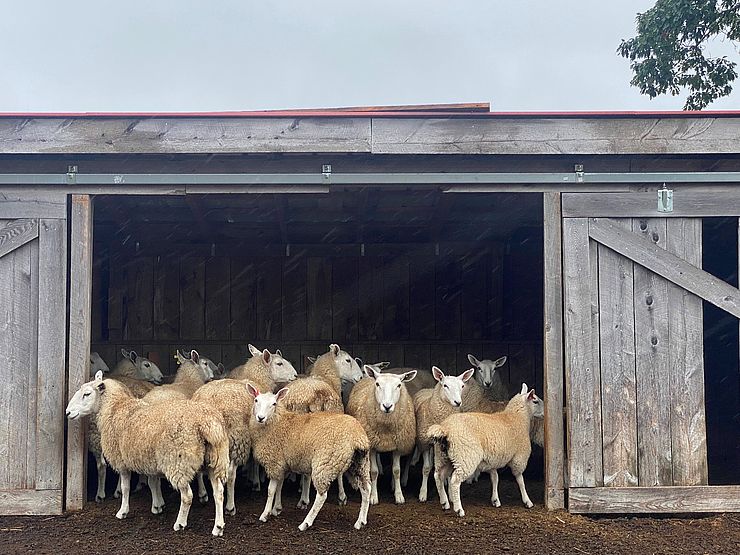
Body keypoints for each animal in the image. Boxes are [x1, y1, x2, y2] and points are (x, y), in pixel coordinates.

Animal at [65, 372, 230, 536]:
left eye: (87, 394)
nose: (67, 412)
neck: (114, 408)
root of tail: (207, 423)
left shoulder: (122, 461)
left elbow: (125, 488)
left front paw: (123, 511)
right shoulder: (148, 461)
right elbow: (152, 483)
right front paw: (157, 506)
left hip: (178, 462)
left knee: (188, 496)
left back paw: (180, 523)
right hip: (214, 460)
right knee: (219, 492)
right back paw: (218, 527)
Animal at [247, 384, 372, 532]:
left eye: (274, 403)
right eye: (256, 400)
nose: (260, 417)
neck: (277, 422)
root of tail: (357, 436)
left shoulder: (274, 462)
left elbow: (271, 490)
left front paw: (265, 514)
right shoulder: (282, 464)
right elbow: (279, 486)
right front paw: (276, 509)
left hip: (325, 463)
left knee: (322, 496)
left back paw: (305, 523)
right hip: (360, 463)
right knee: (366, 489)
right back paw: (361, 521)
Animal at [346, 368, 416, 506]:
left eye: (399, 385)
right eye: (377, 384)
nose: (387, 406)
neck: (386, 430)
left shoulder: (397, 446)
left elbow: (396, 470)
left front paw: (399, 495)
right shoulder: (372, 446)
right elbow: (374, 472)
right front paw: (373, 496)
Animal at [428, 382, 544, 516]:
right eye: (535, 401)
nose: (544, 413)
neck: (516, 418)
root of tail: (445, 429)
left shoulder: (492, 460)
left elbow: (495, 478)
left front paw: (495, 500)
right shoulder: (519, 458)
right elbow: (520, 480)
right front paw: (527, 501)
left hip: (444, 457)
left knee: (438, 476)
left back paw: (444, 502)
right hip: (465, 457)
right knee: (455, 481)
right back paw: (459, 509)